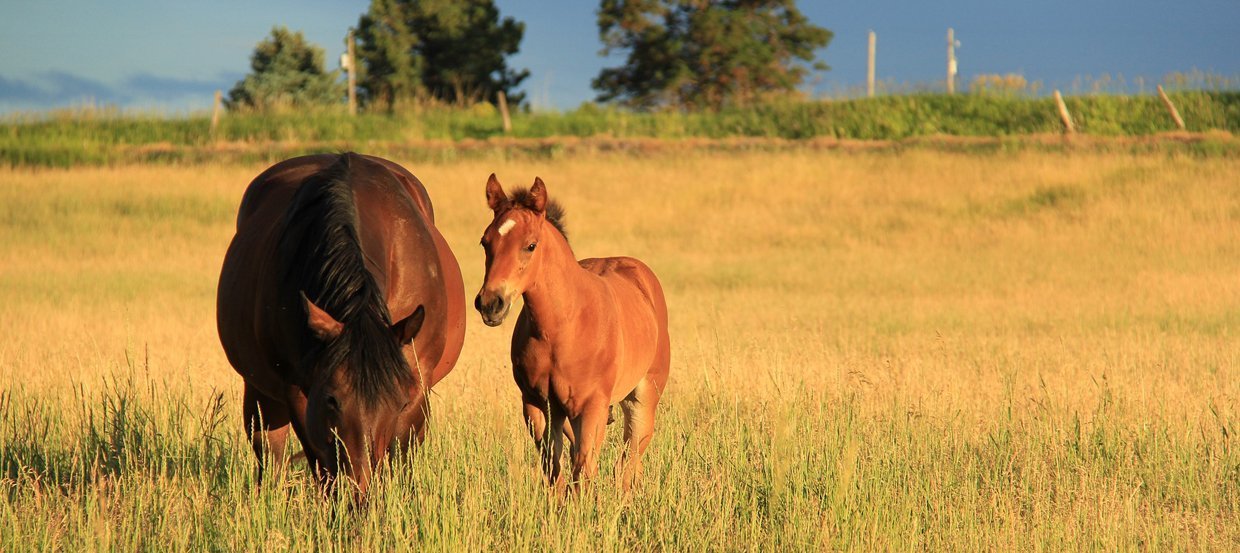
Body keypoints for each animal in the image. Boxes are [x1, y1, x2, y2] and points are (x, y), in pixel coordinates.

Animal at [218, 152, 466, 495]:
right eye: (333, 399)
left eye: (398, 401)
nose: (360, 490)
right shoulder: (302, 394)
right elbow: (321, 465)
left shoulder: (416, 384)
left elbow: (400, 461)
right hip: (258, 389)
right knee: (269, 453)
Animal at [471, 173, 669, 493]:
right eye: (485, 242)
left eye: (530, 245)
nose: (490, 303)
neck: (562, 327)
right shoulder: (538, 406)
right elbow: (555, 470)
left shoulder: (592, 407)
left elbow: (583, 471)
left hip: (642, 399)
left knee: (627, 462)